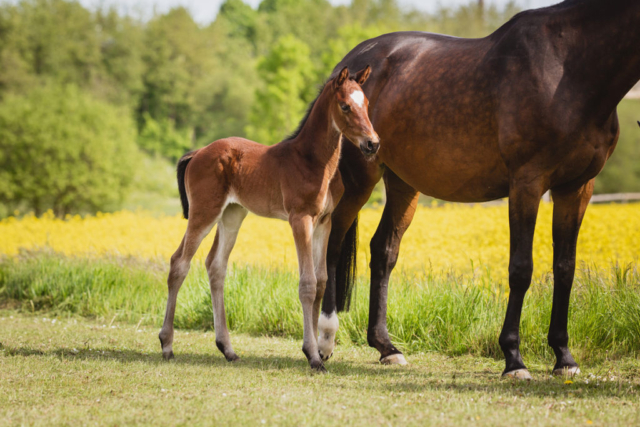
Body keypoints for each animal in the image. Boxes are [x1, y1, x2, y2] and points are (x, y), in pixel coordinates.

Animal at [159, 66, 378, 372]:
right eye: (345, 106)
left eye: (367, 104)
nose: (372, 143)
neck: (313, 161)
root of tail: (197, 152)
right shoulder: (300, 219)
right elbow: (307, 284)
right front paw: (313, 355)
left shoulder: (324, 222)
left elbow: (321, 281)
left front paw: (317, 351)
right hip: (204, 212)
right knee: (179, 262)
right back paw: (167, 344)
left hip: (232, 214)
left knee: (216, 266)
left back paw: (227, 348)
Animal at [322, 0, 640, 382]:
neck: (569, 68)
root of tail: (349, 64)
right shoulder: (527, 182)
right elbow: (521, 269)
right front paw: (514, 358)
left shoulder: (576, 187)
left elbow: (565, 267)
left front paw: (564, 356)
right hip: (359, 180)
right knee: (333, 245)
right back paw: (325, 339)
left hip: (403, 184)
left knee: (383, 251)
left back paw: (386, 347)